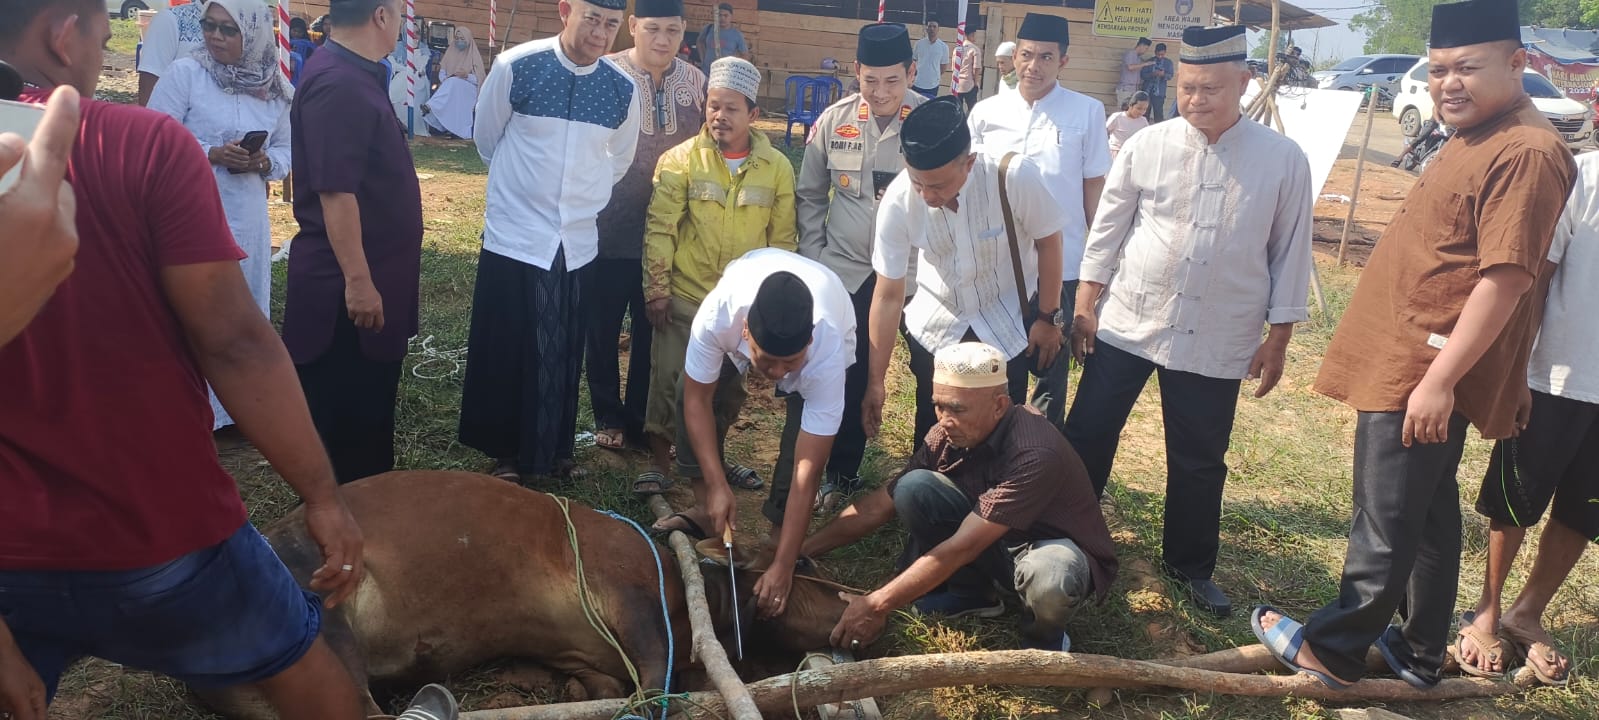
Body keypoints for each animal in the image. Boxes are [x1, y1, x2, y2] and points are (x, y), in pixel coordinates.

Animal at [199, 470, 850, 716]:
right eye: (801, 561)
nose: (857, 613)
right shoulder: (629, 595)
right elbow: (656, 677)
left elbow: (607, 686)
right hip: (326, 641)